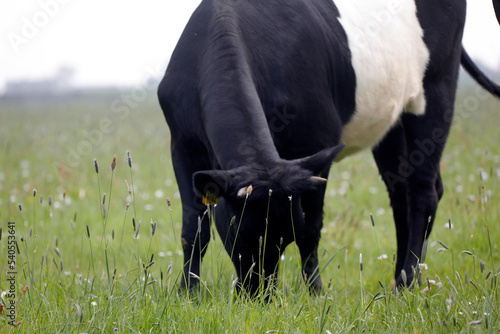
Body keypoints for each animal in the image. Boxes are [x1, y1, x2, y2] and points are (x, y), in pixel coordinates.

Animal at [157, 0, 500, 294]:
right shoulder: (182, 144)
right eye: (240, 232)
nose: (260, 295)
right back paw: (397, 281)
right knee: (400, 192)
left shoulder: (317, 142)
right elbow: (194, 229)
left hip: (436, 91)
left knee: (422, 193)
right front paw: (187, 292)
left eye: (284, 236)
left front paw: (315, 292)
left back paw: (407, 282)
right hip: (391, 125)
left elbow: (312, 228)